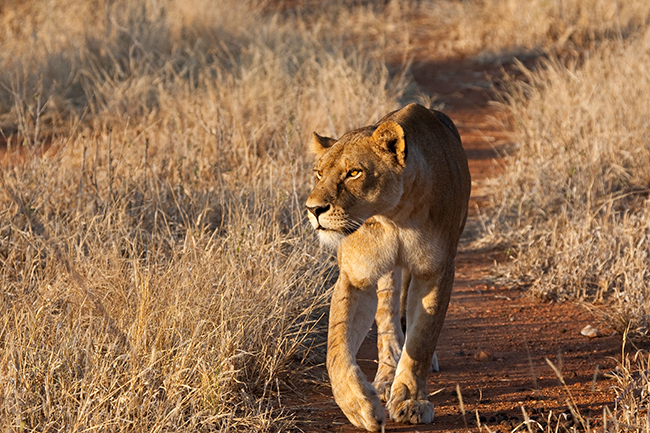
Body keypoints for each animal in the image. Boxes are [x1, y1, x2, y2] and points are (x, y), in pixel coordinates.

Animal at [305, 103, 471, 431]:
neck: (394, 216)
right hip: (388, 274)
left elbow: (421, 340)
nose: (313, 209)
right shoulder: (355, 277)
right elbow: (337, 349)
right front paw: (359, 405)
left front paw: (410, 401)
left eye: (354, 172)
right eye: (318, 173)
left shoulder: (435, 272)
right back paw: (385, 375)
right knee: (387, 315)